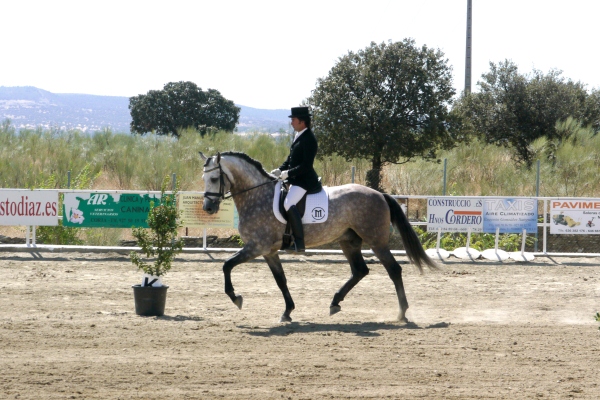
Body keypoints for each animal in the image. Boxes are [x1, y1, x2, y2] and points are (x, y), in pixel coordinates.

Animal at [199, 152, 438, 324]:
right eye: (204, 179)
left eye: (214, 178)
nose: (208, 208)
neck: (256, 195)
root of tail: (380, 194)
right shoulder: (269, 251)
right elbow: (280, 280)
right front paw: (287, 312)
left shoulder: (256, 246)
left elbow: (227, 265)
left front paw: (236, 298)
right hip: (348, 241)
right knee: (360, 271)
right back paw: (335, 303)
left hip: (376, 242)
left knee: (394, 270)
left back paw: (402, 313)